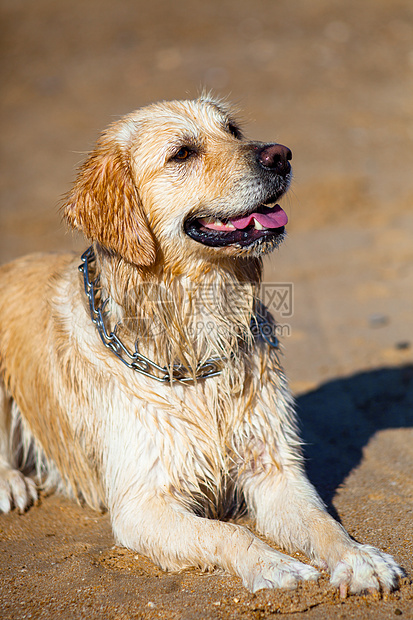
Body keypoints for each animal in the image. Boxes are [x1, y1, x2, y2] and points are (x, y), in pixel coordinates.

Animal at [0, 97, 400, 596]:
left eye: (232, 130)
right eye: (182, 153)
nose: (281, 155)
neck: (196, 328)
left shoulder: (275, 468)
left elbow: (322, 522)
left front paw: (360, 559)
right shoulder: (142, 503)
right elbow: (227, 531)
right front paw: (273, 564)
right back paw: (11, 483)